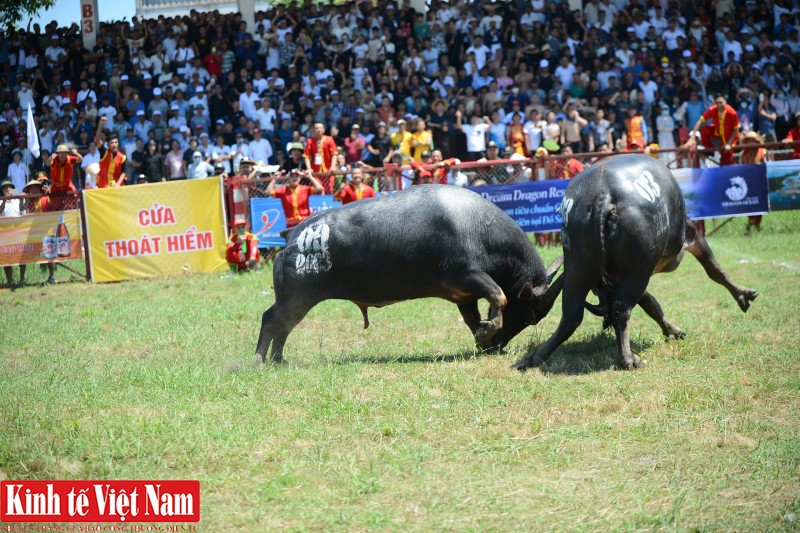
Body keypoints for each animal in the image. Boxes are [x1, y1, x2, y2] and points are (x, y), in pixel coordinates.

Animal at [255, 184, 564, 366]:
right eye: (527, 314)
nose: (500, 346)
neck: (478, 226)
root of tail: (295, 234)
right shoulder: (467, 278)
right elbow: (500, 296)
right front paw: (487, 332)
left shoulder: (464, 296)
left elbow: (474, 318)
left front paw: (483, 336)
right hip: (296, 298)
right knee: (271, 320)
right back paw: (260, 360)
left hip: (299, 301)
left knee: (284, 326)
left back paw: (278, 360)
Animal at [512, 153, 756, 370]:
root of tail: (603, 194)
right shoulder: (688, 234)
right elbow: (713, 269)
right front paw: (743, 295)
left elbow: (650, 303)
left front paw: (672, 331)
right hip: (638, 270)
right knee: (621, 307)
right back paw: (628, 359)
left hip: (581, 263)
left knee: (572, 313)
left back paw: (536, 356)